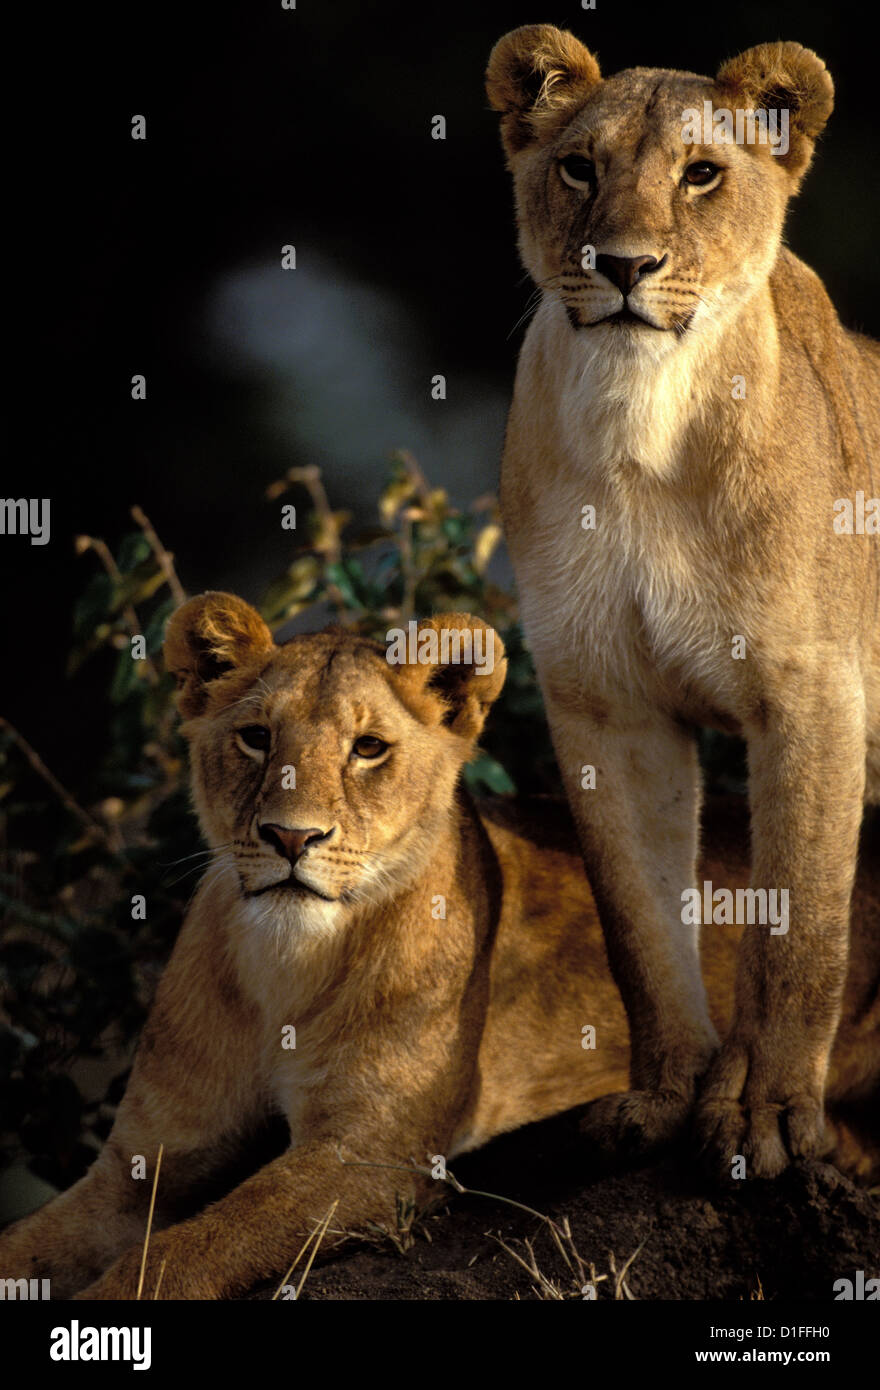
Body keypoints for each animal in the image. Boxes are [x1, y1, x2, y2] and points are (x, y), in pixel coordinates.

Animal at [0, 592, 878, 1299]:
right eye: (254, 737)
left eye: (368, 748)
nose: (290, 837)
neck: (286, 967)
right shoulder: (138, 1163)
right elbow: (26, 1245)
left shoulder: (372, 1156)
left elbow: (190, 1247)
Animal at [486, 25, 880, 1179]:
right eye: (580, 168)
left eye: (701, 174)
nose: (623, 267)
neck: (639, 428)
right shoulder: (605, 703)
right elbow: (639, 922)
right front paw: (663, 1097)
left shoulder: (810, 694)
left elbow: (798, 928)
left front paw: (765, 1114)